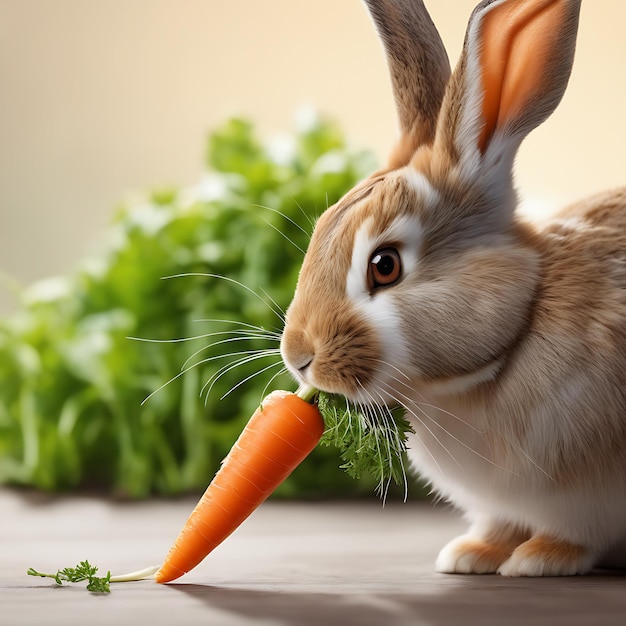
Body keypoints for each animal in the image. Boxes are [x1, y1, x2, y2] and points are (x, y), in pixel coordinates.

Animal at [280, 0, 624, 576]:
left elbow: (575, 534)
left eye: (385, 265)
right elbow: (499, 525)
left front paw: (540, 559)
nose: (299, 358)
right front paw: (470, 555)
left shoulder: (588, 500)